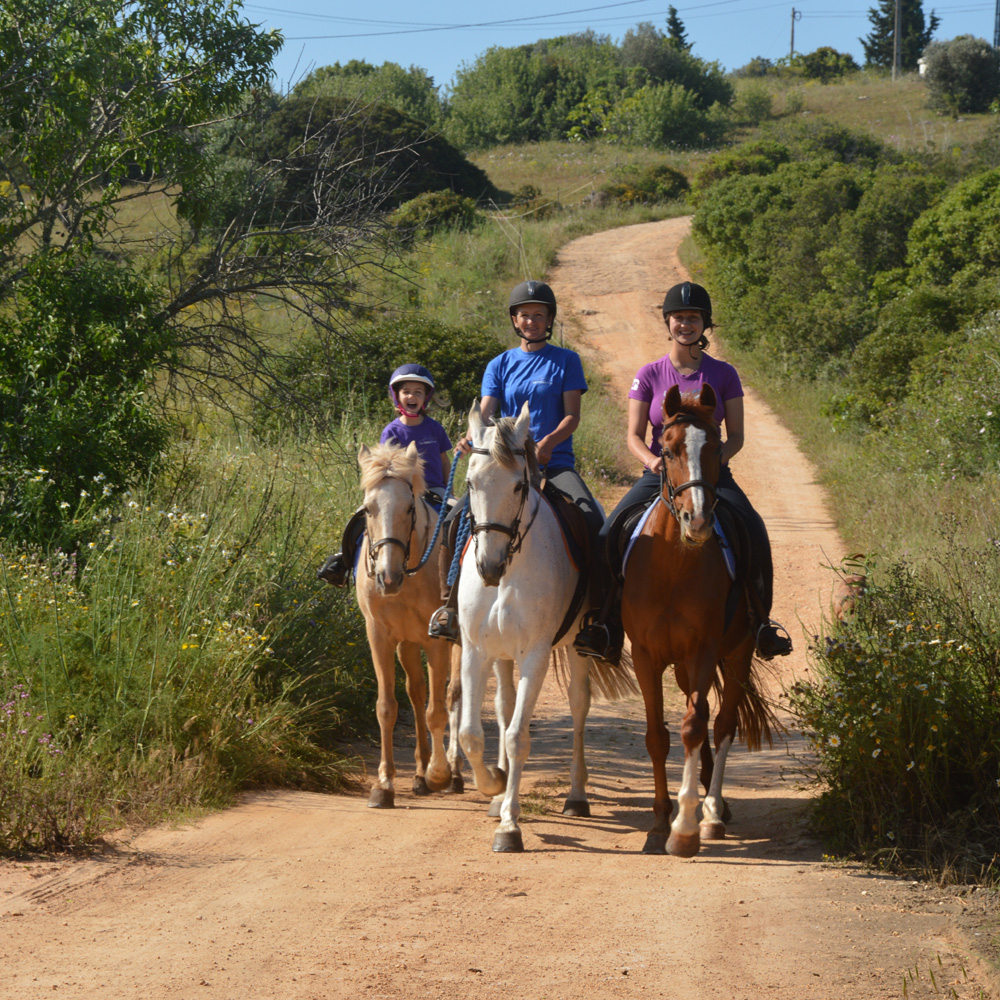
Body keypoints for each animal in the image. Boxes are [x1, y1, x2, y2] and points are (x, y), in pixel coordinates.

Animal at [355, 441, 463, 808]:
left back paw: (453, 773)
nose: (387, 578)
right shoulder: (381, 637)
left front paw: (438, 774)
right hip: (408, 644)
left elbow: (436, 710)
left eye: (409, 507)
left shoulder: (436, 641)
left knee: (455, 694)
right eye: (368, 509)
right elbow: (387, 707)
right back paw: (418, 774)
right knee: (416, 692)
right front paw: (384, 785)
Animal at [457, 400, 634, 853]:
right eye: (470, 483)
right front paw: (493, 785)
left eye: (520, 486)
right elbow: (472, 733)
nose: (488, 567)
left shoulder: (535, 655)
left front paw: (509, 827)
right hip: (501, 655)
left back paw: (576, 797)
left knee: (578, 705)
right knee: (503, 707)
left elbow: (518, 736)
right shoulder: (476, 651)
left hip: (575, 648)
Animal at [622, 384, 777, 857]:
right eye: (667, 450)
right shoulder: (646, 654)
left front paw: (685, 830)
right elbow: (658, 736)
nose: (700, 521)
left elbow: (693, 727)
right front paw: (658, 824)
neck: (675, 562)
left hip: (738, 651)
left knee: (721, 723)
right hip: (684, 667)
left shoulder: (704, 649)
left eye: (716, 449)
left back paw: (711, 812)